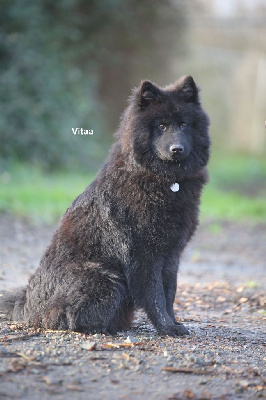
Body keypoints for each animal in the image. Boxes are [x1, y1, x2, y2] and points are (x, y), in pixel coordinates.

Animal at [0, 76, 210, 336]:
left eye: (183, 125)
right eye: (161, 126)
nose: (176, 149)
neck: (166, 181)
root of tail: (28, 304)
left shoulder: (171, 255)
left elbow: (170, 293)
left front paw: (174, 323)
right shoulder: (144, 255)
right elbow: (156, 296)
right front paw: (166, 327)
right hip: (105, 280)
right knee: (61, 317)